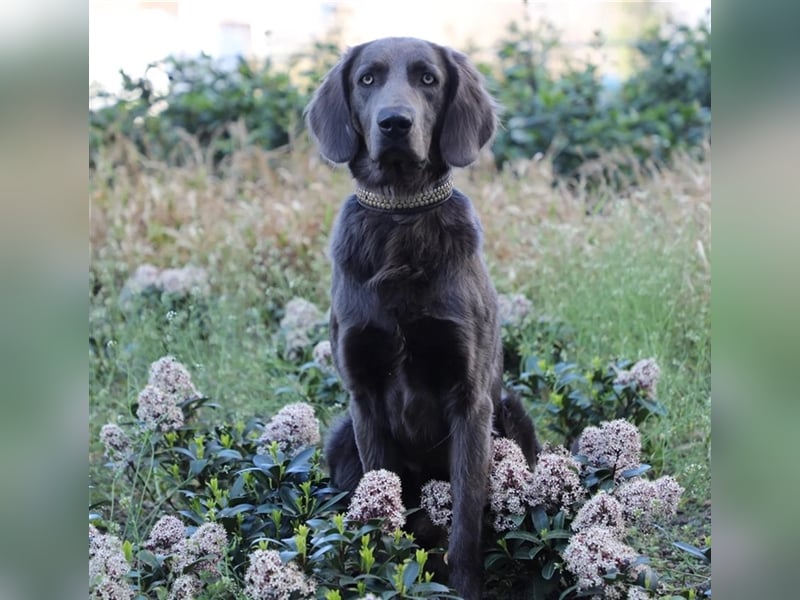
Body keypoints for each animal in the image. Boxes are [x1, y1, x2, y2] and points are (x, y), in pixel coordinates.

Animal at [306, 38, 536, 600]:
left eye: (428, 79)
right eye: (367, 79)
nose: (394, 123)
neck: (400, 216)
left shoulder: (471, 401)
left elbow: (466, 520)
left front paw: (463, 586)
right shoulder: (364, 397)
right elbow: (381, 507)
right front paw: (388, 574)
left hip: (512, 415)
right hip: (340, 435)